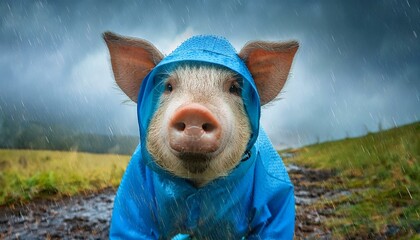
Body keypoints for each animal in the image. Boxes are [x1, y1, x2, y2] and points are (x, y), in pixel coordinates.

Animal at [104, 31, 300, 240]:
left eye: (234, 88)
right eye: (168, 87)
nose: (195, 111)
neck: (198, 188)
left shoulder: (275, 197)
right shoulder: (134, 195)